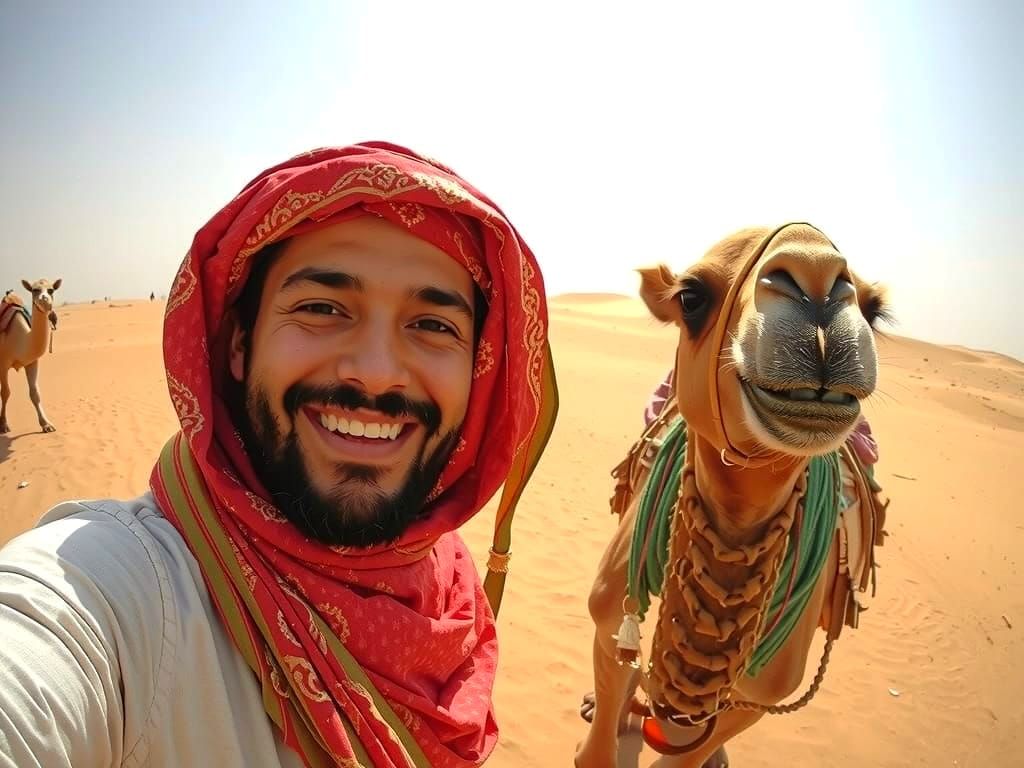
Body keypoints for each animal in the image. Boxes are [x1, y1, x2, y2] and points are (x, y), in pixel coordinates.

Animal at [0, 279, 62, 434]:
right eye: (34, 290)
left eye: (51, 290)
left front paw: (46, 424)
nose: (44, 300)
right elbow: (5, 392)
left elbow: (35, 394)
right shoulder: (3, 364)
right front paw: (3, 425)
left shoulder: (32, 362)